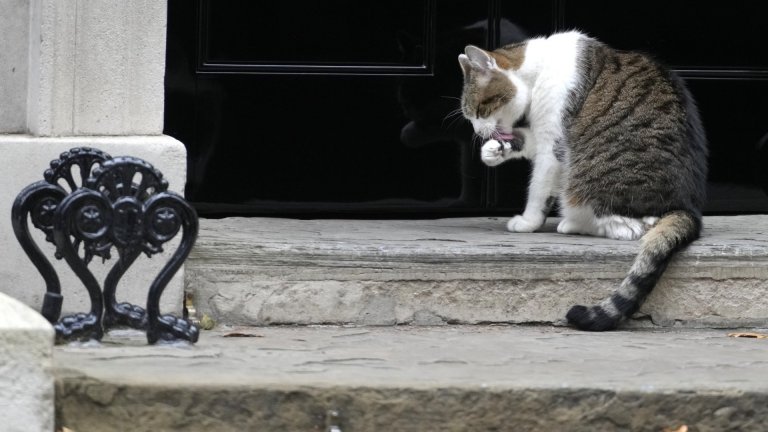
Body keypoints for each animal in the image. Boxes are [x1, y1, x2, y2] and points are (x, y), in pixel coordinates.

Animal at [456, 31, 708, 330]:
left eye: (479, 111)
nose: (478, 133)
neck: (538, 69)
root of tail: (686, 208)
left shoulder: (553, 141)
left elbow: (539, 188)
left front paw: (527, 222)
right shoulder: (540, 135)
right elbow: (523, 141)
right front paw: (493, 151)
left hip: (583, 182)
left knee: (629, 227)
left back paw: (571, 223)